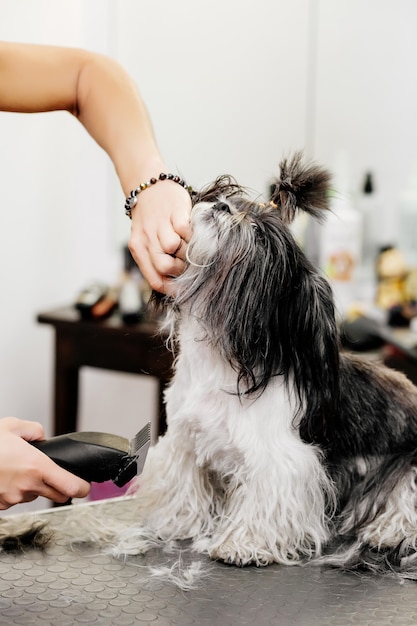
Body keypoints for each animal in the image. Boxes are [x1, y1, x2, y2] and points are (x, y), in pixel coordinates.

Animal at [4, 152, 417, 580]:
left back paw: (387, 531)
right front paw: (178, 524)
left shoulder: (281, 461)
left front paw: (244, 545)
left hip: (405, 467)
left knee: (402, 501)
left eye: (257, 231)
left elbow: (265, 500)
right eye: (233, 201)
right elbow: (187, 489)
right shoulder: (186, 440)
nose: (221, 205)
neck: (219, 360)